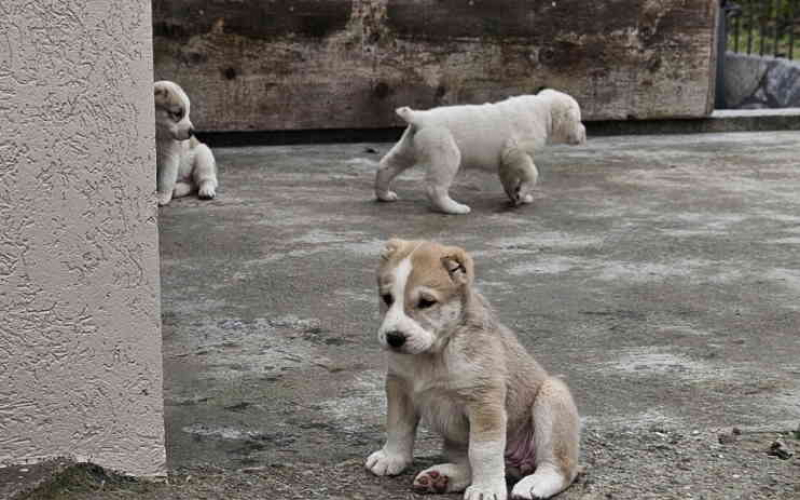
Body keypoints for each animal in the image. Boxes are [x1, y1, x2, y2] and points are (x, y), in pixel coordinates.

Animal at [366, 239, 580, 500]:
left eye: (426, 302)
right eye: (387, 298)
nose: (394, 337)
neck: (435, 353)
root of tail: (517, 465)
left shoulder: (483, 402)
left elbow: (483, 451)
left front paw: (485, 488)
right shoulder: (399, 388)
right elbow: (398, 426)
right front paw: (391, 457)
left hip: (552, 395)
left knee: (561, 467)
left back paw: (536, 482)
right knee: (468, 463)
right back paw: (439, 478)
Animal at [376, 89, 588, 214]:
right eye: (578, 120)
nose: (584, 134)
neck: (544, 110)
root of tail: (419, 118)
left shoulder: (506, 158)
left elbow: (508, 175)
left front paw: (517, 195)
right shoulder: (516, 149)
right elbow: (531, 171)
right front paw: (523, 191)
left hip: (409, 144)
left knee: (388, 165)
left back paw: (384, 195)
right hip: (443, 148)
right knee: (436, 185)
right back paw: (455, 208)